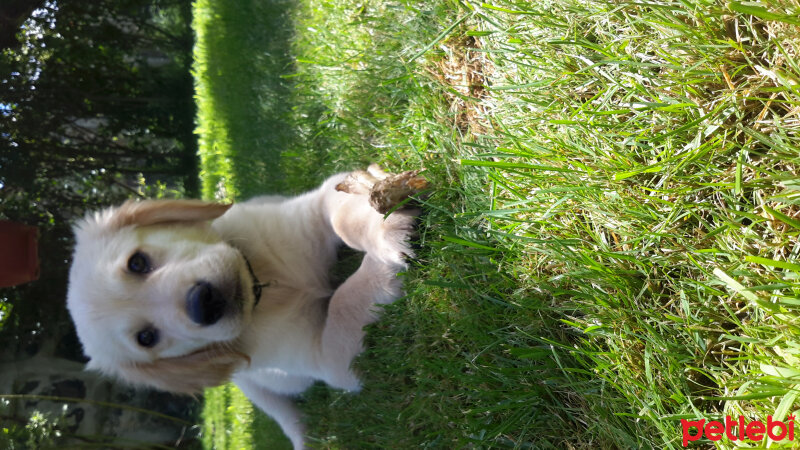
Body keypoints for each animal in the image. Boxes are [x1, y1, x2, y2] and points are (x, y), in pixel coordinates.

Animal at [65, 166, 424, 450]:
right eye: (147, 338)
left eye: (137, 263)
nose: (203, 303)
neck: (263, 284)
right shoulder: (328, 360)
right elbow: (341, 302)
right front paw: (382, 269)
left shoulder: (316, 204)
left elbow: (344, 218)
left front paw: (386, 224)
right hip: (255, 388)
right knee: (290, 418)